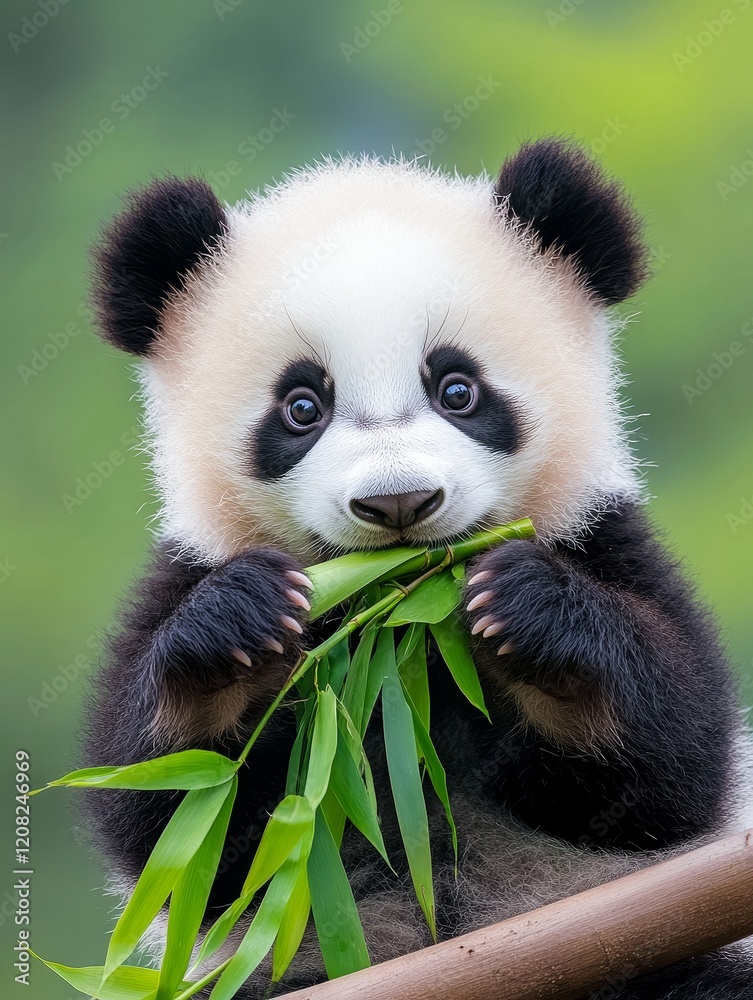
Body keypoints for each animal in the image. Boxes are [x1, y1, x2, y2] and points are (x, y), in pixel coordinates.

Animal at [83, 138, 753, 998]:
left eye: (457, 389)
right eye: (302, 407)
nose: (397, 500)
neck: (403, 621)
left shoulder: (599, 534)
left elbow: (669, 771)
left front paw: (528, 609)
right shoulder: (190, 563)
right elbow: (177, 820)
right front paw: (239, 622)